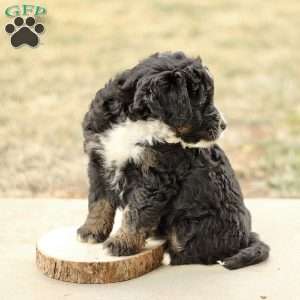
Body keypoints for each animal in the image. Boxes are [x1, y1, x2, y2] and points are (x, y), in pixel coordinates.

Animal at [77, 51, 270, 270]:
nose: (224, 125)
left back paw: (169, 255)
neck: (139, 122)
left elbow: (136, 213)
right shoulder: (99, 160)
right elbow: (98, 201)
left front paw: (121, 243)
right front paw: (91, 231)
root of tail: (247, 236)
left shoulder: (155, 176)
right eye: (203, 100)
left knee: (200, 250)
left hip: (193, 224)